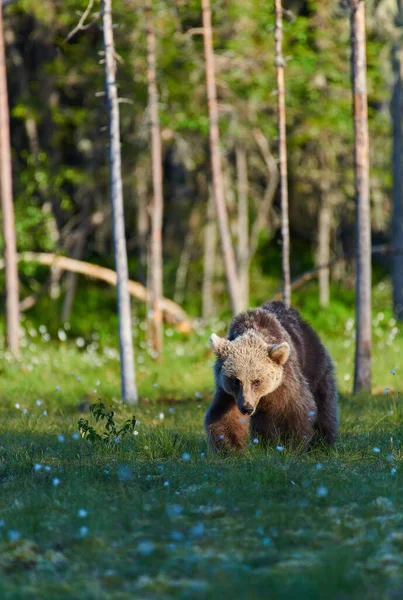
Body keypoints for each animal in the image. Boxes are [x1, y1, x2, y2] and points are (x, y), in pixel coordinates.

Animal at [205, 300, 338, 450]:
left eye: (257, 381)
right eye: (236, 381)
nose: (247, 408)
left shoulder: (285, 381)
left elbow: (294, 410)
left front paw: (290, 445)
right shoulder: (228, 393)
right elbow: (223, 416)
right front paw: (230, 447)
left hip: (314, 364)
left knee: (324, 404)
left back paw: (324, 441)